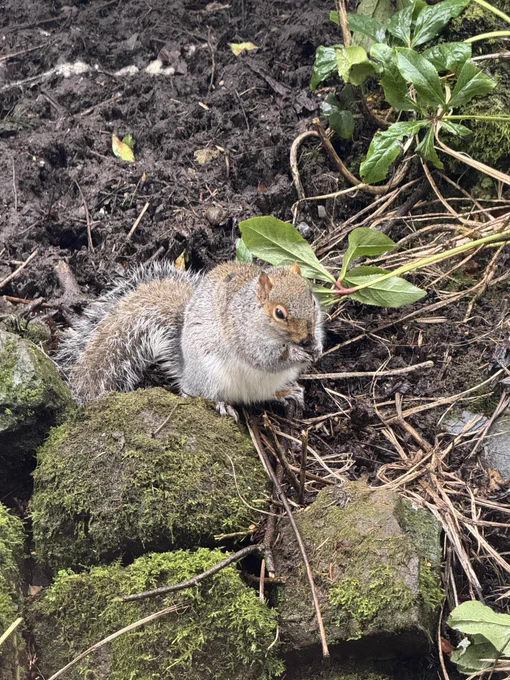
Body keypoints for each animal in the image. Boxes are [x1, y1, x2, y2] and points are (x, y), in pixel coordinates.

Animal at [57, 260, 324, 417]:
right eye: (279, 313)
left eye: (312, 301)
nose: (306, 338)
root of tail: (186, 370)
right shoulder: (243, 335)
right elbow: (265, 359)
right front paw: (296, 353)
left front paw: (318, 347)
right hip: (210, 375)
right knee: (195, 393)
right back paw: (220, 403)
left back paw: (285, 392)